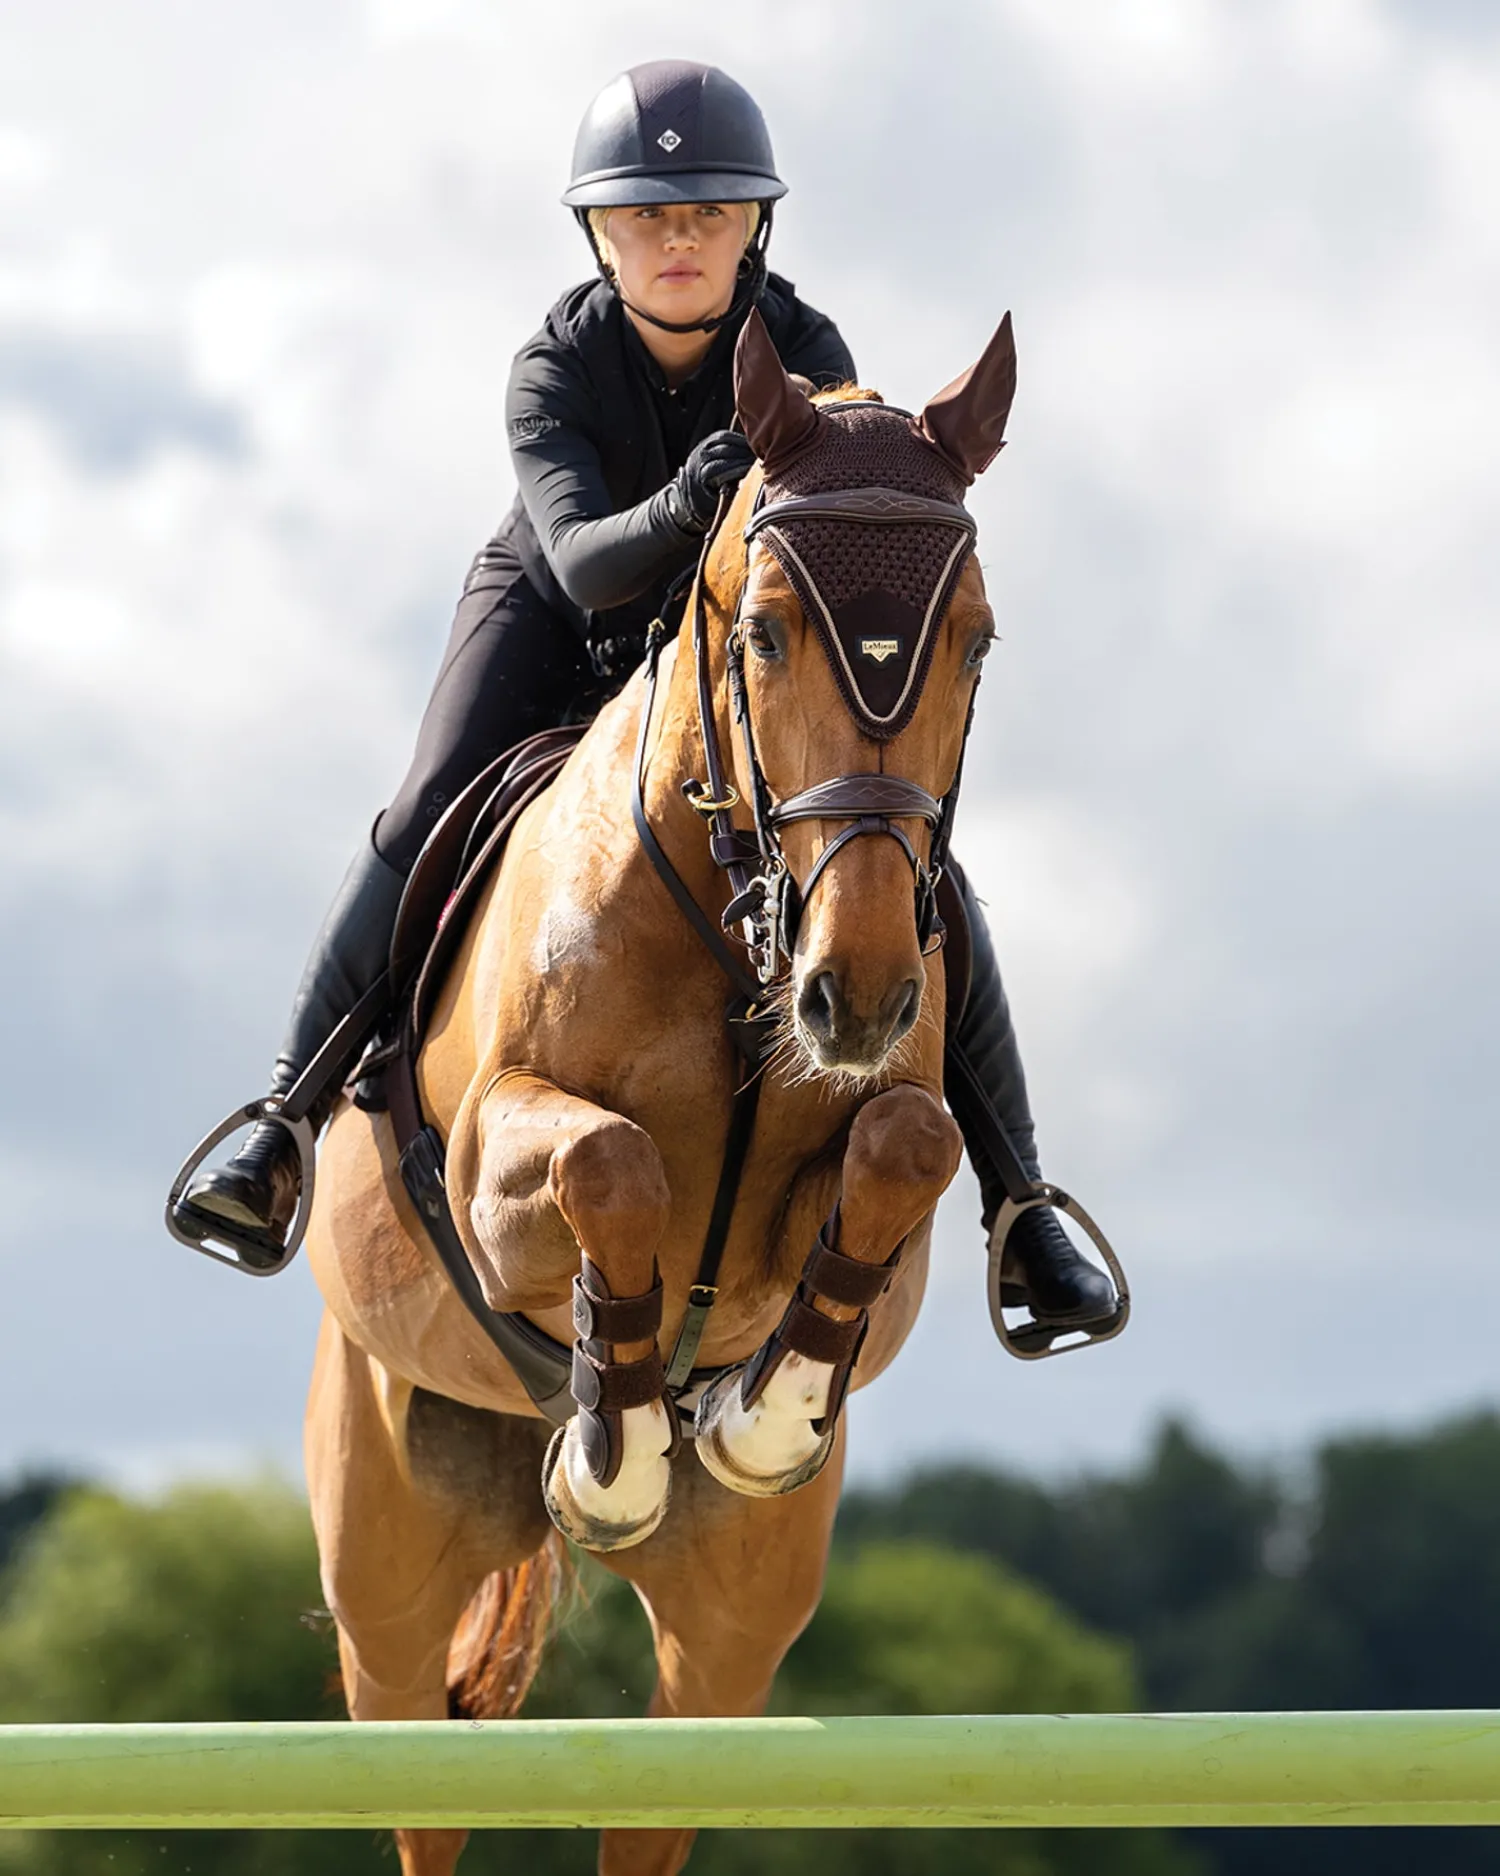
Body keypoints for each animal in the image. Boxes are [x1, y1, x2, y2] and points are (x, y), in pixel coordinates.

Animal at [302, 306, 1017, 1876]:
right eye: (763, 634)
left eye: (979, 643)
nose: (856, 991)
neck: (740, 929)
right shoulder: (489, 1173)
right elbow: (608, 1165)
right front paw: (619, 1448)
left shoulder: (879, 1166)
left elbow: (909, 1142)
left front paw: (762, 1412)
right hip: (386, 1570)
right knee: (419, 1778)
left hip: (731, 1634)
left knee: (655, 1791)